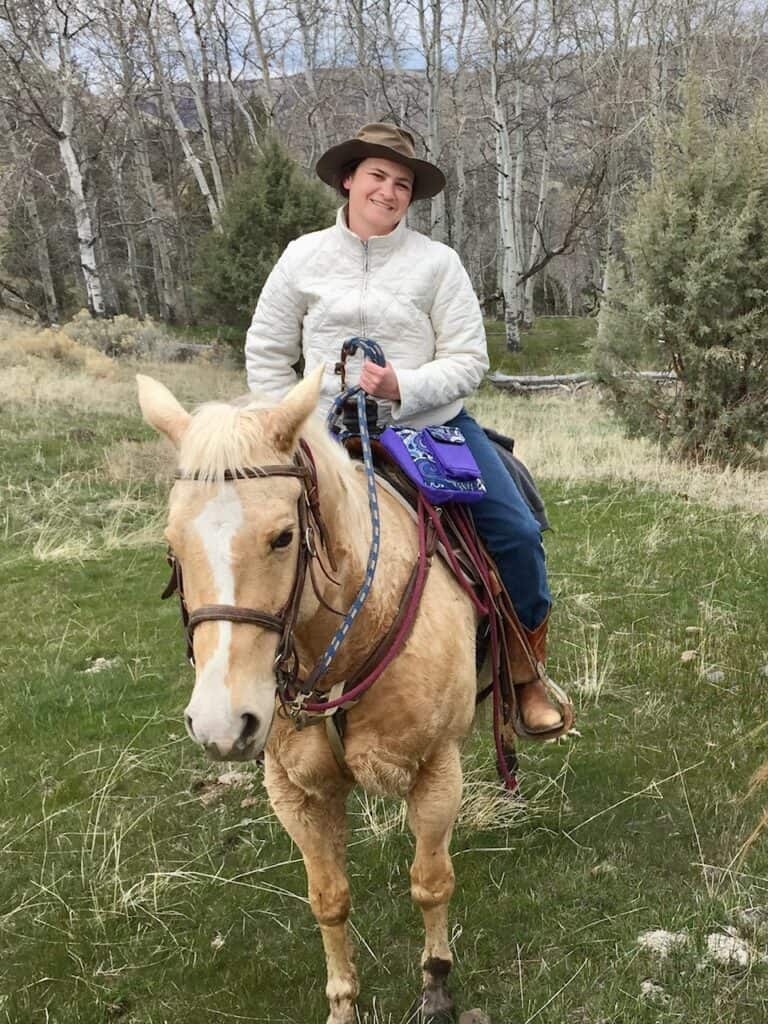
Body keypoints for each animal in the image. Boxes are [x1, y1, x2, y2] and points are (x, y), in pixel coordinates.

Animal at [140, 370, 481, 1024]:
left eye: (282, 536)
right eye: (171, 544)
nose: (222, 725)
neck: (345, 644)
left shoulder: (436, 768)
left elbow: (432, 880)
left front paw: (436, 985)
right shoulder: (294, 791)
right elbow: (328, 898)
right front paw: (343, 1000)